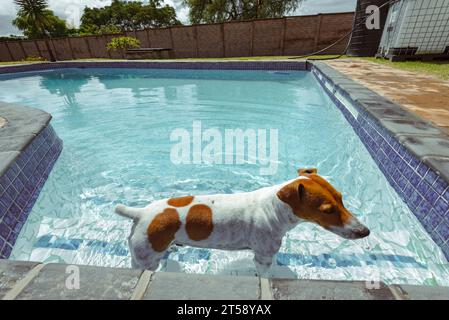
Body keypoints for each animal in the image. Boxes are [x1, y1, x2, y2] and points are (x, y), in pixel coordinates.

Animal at [114, 168, 368, 276]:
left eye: (341, 198)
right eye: (328, 210)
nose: (365, 231)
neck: (274, 207)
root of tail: (140, 213)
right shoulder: (263, 257)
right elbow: (265, 274)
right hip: (145, 257)